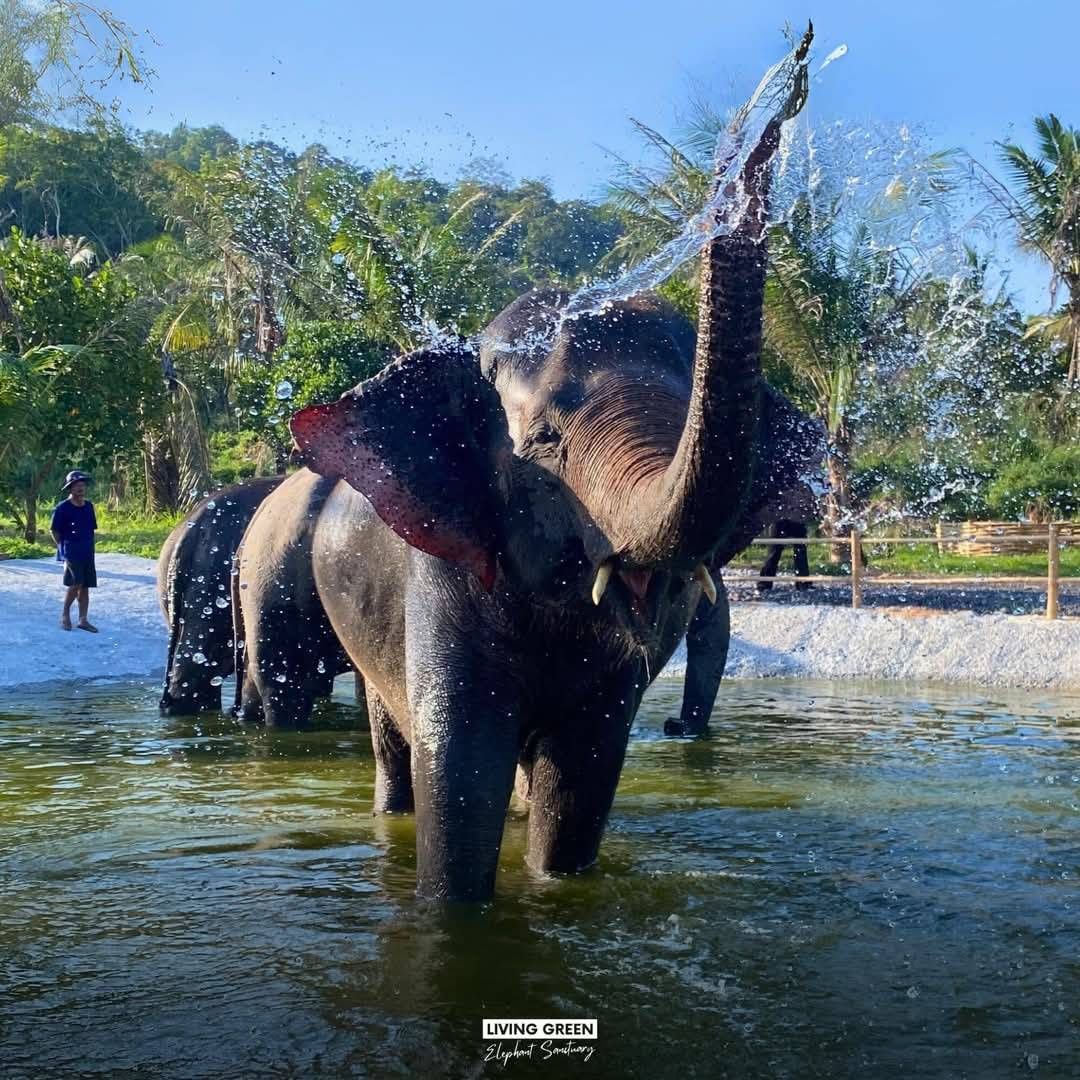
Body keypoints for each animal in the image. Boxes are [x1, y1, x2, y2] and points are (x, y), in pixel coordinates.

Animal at [244, 49, 809, 900]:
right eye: (543, 442)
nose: (788, 81)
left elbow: (580, 781)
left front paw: (555, 887)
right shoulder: (442, 576)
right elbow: (460, 773)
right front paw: (451, 907)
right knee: (391, 744)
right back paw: (390, 814)